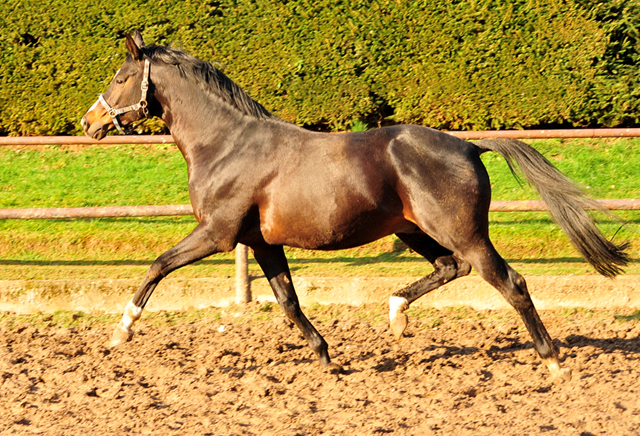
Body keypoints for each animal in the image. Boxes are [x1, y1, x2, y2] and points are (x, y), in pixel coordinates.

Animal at [82, 30, 628, 380]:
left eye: (121, 76)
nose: (89, 122)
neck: (226, 144)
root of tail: (470, 146)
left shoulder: (217, 235)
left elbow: (157, 265)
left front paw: (121, 331)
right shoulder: (261, 243)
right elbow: (288, 300)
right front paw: (327, 358)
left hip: (462, 232)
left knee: (509, 282)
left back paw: (553, 363)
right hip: (413, 230)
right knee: (451, 268)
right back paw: (397, 313)